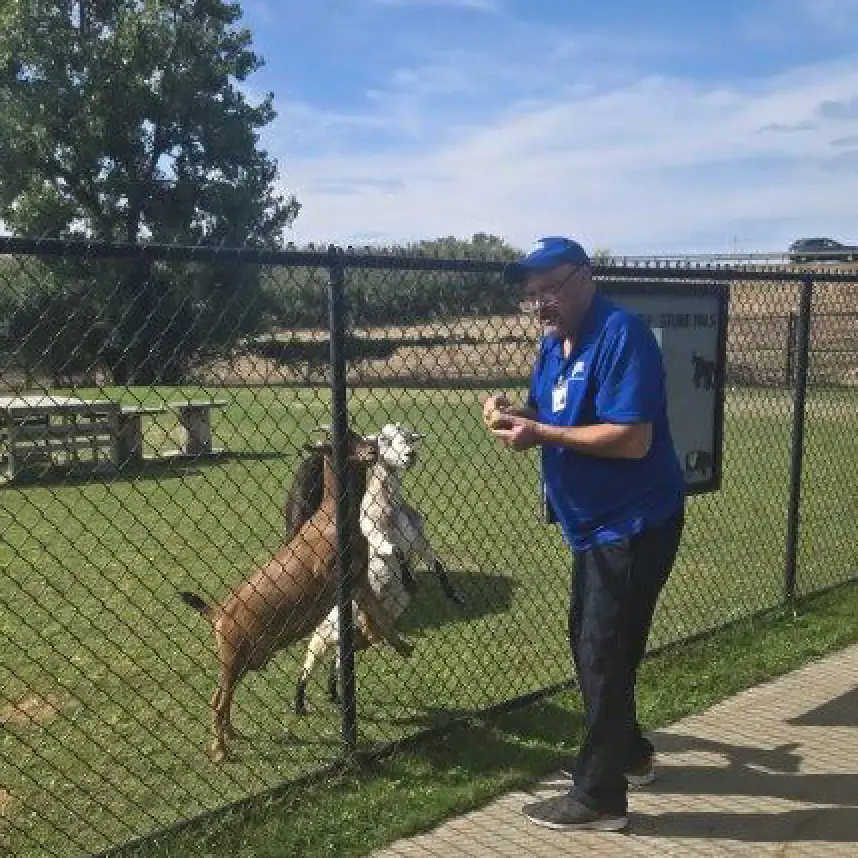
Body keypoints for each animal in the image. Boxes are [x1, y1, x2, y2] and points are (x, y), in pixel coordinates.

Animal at [180, 429, 413, 762]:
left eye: (358, 435)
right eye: (340, 441)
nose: (371, 451)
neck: (331, 519)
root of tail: (220, 614)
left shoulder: (359, 580)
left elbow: (378, 616)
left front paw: (400, 646)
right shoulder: (333, 576)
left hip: (243, 661)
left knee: (222, 697)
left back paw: (231, 734)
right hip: (232, 658)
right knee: (218, 701)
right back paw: (220, 750)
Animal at [294, 423, 463, 714]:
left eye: (408, 438)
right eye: (383, 439)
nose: (410, 455)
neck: (390, 507)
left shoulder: (420, 542)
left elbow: (438, 563)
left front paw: (454, 596)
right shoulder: (374, 538)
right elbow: (396, 551)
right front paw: (409, 581)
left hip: (351, 641)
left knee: (338, 663)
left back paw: (334, 694)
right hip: (323, 634)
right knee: (307, 665)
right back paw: (300, 703)